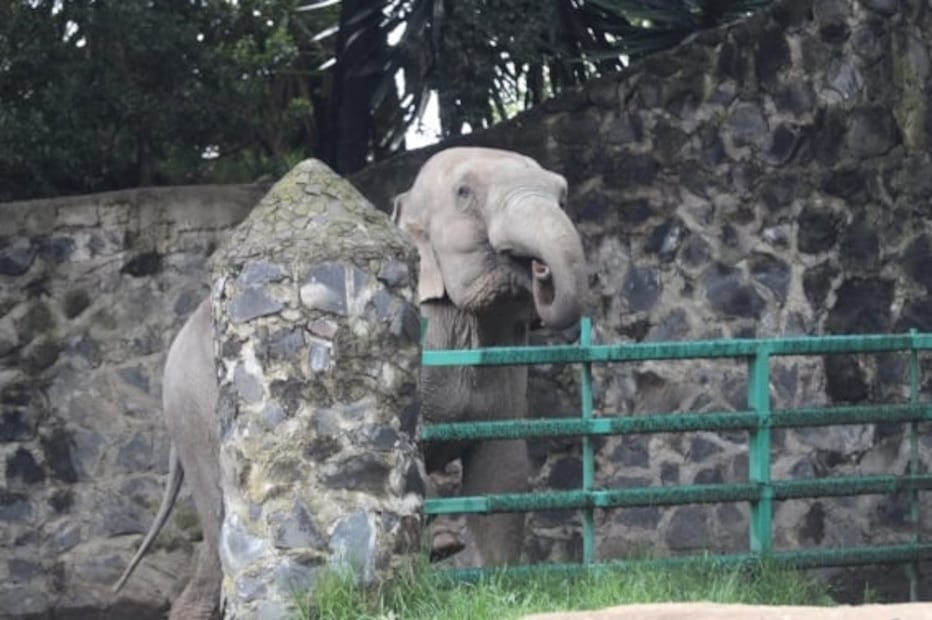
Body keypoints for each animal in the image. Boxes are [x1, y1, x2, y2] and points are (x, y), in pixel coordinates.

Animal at [111, 146, 586, 617]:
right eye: (465, 193)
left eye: (563, 196)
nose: (540, 269)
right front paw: (441, 547)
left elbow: (502, 469)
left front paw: (500, 585)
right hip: (196, 416)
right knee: (218, 510)